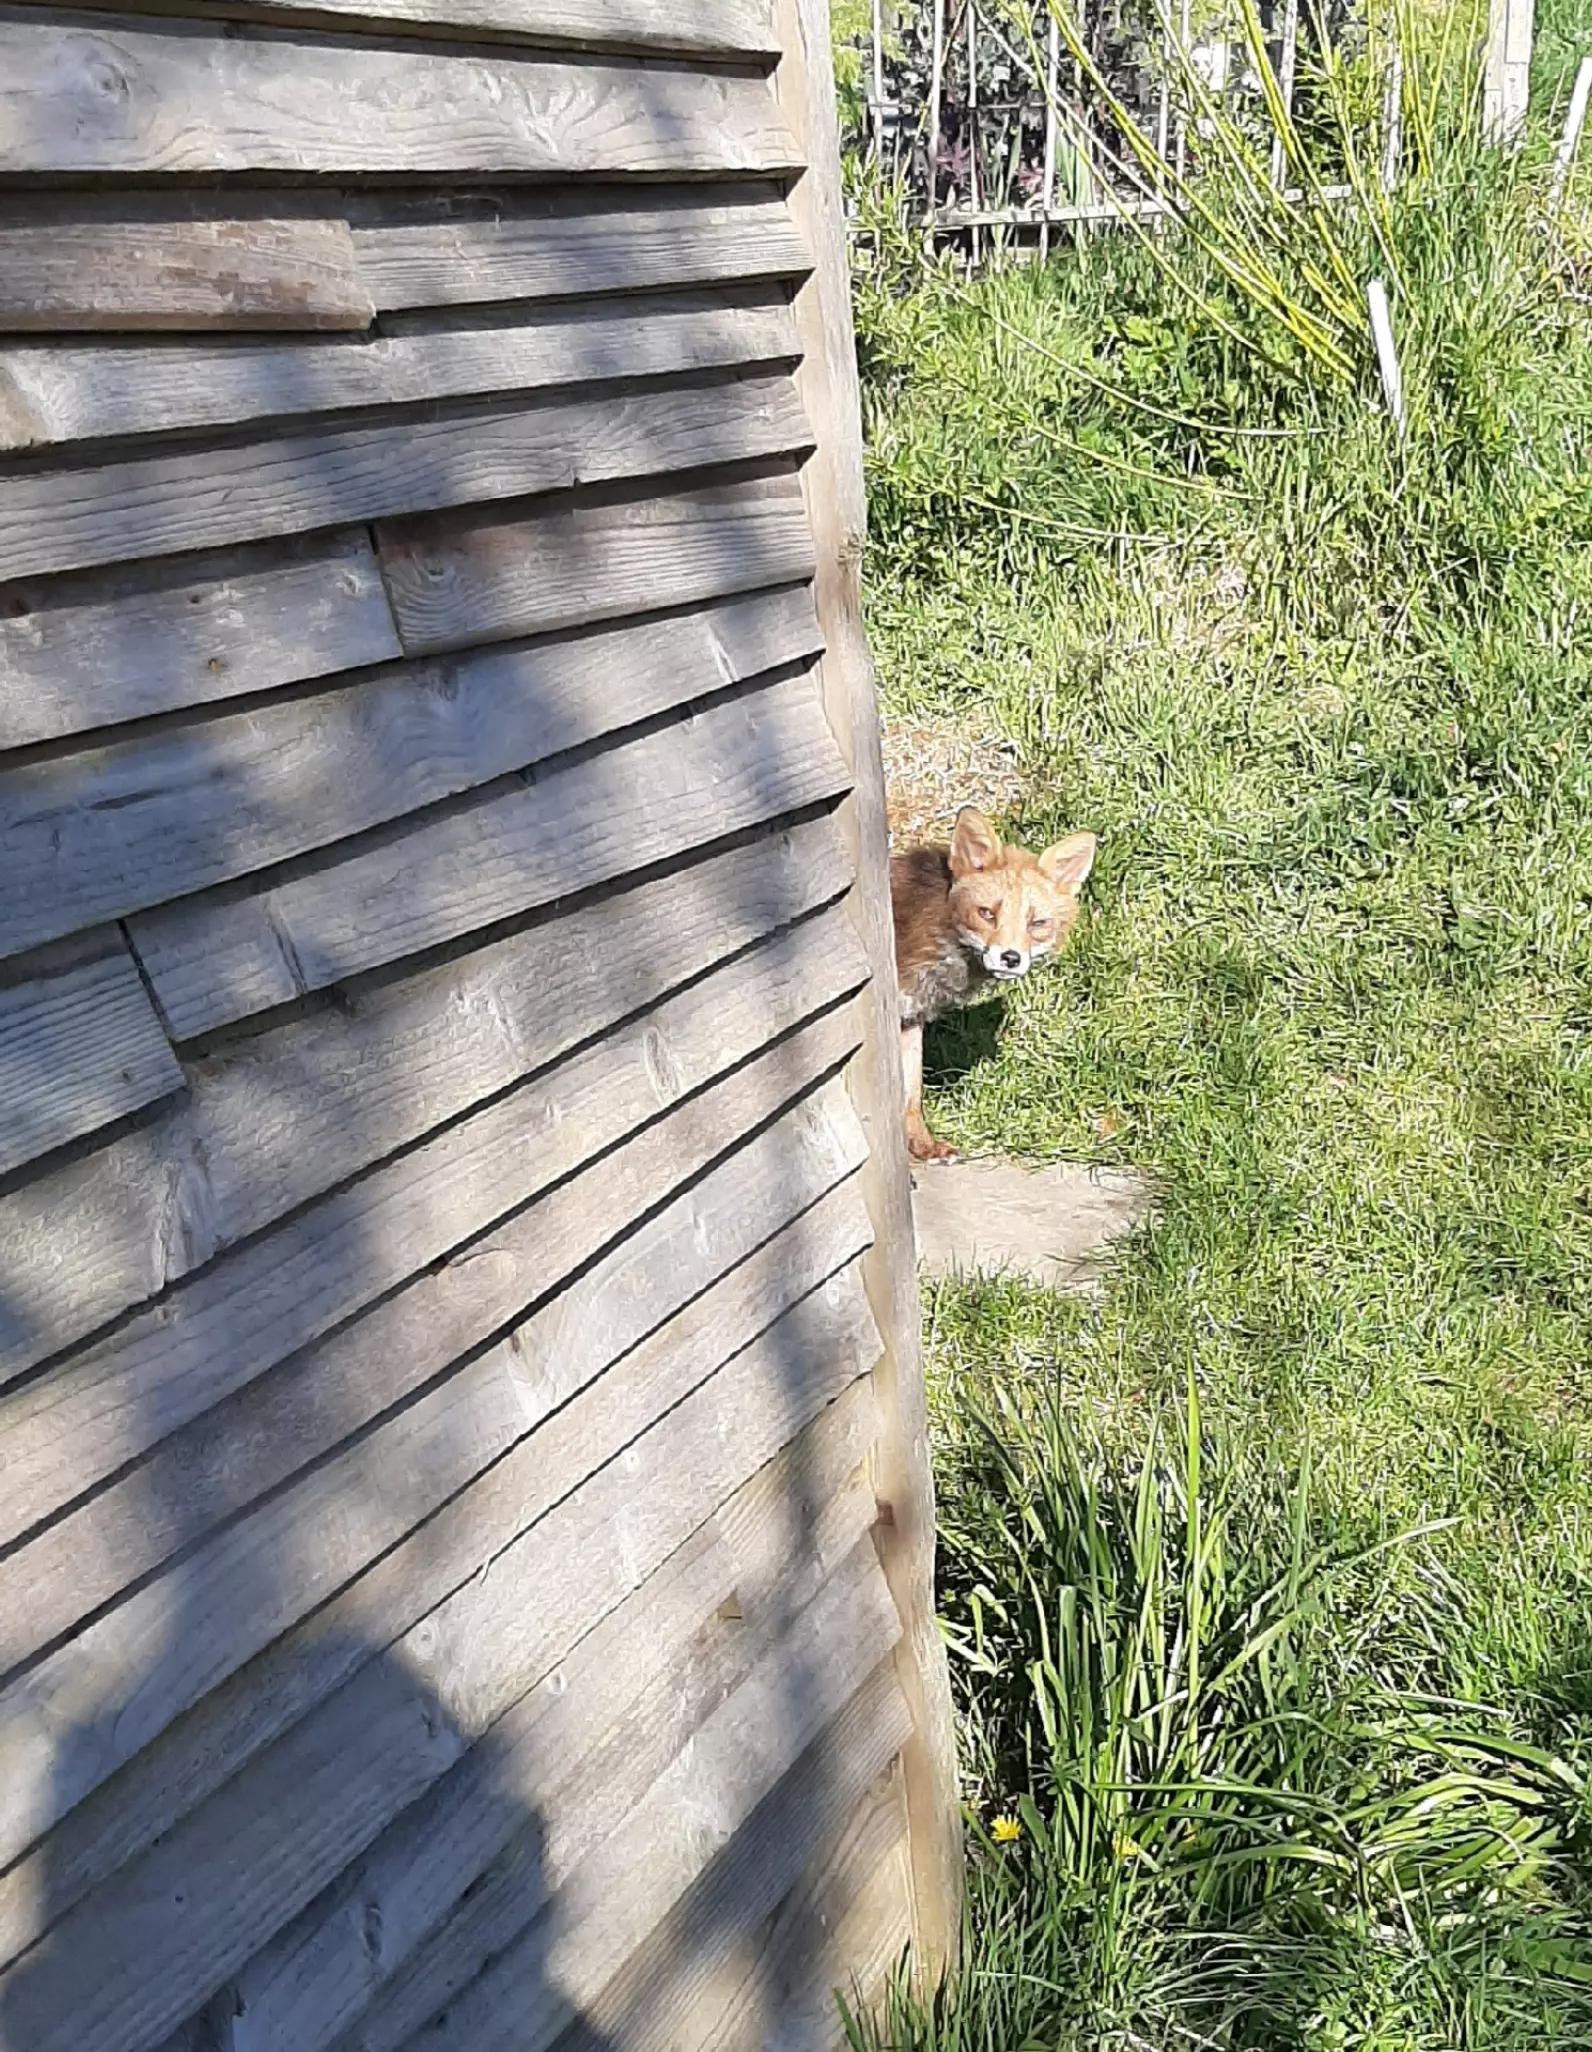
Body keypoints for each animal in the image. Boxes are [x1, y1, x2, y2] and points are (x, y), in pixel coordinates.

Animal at [890, 805, 1097, 1163]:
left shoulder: (910, 1018)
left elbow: (911, 1098)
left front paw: (923, 1147)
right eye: (986, 913)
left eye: (1036, 923)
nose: (1010, 958)